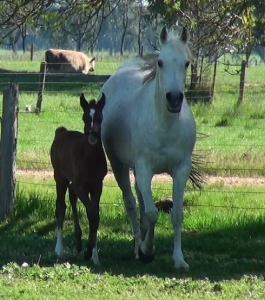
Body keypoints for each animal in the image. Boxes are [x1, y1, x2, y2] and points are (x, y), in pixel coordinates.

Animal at [50, 92, 106, 264]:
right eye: (84, 117)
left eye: (100, 118)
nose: (93, 135)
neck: (90, 160)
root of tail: (61, 132)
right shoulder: (81, 186)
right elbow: (92, 212)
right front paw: (89, 251)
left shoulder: (97, 185)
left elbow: (95, 214)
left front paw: (94, 254)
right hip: (59, 176)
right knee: (61, 206)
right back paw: (59, 249)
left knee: (71, 195)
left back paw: (78, 242)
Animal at [101, 26, 196, 270]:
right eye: (160, 62)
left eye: (187, 63)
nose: (174, 99)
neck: (165, 125)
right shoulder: (144, 167)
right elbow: (152, 213)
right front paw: (147, 250)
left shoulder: (181, 170)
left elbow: (176, 215)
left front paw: (179, 259)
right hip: (119, 166)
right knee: (131, 203)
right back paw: (138, 246)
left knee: (140, 200)